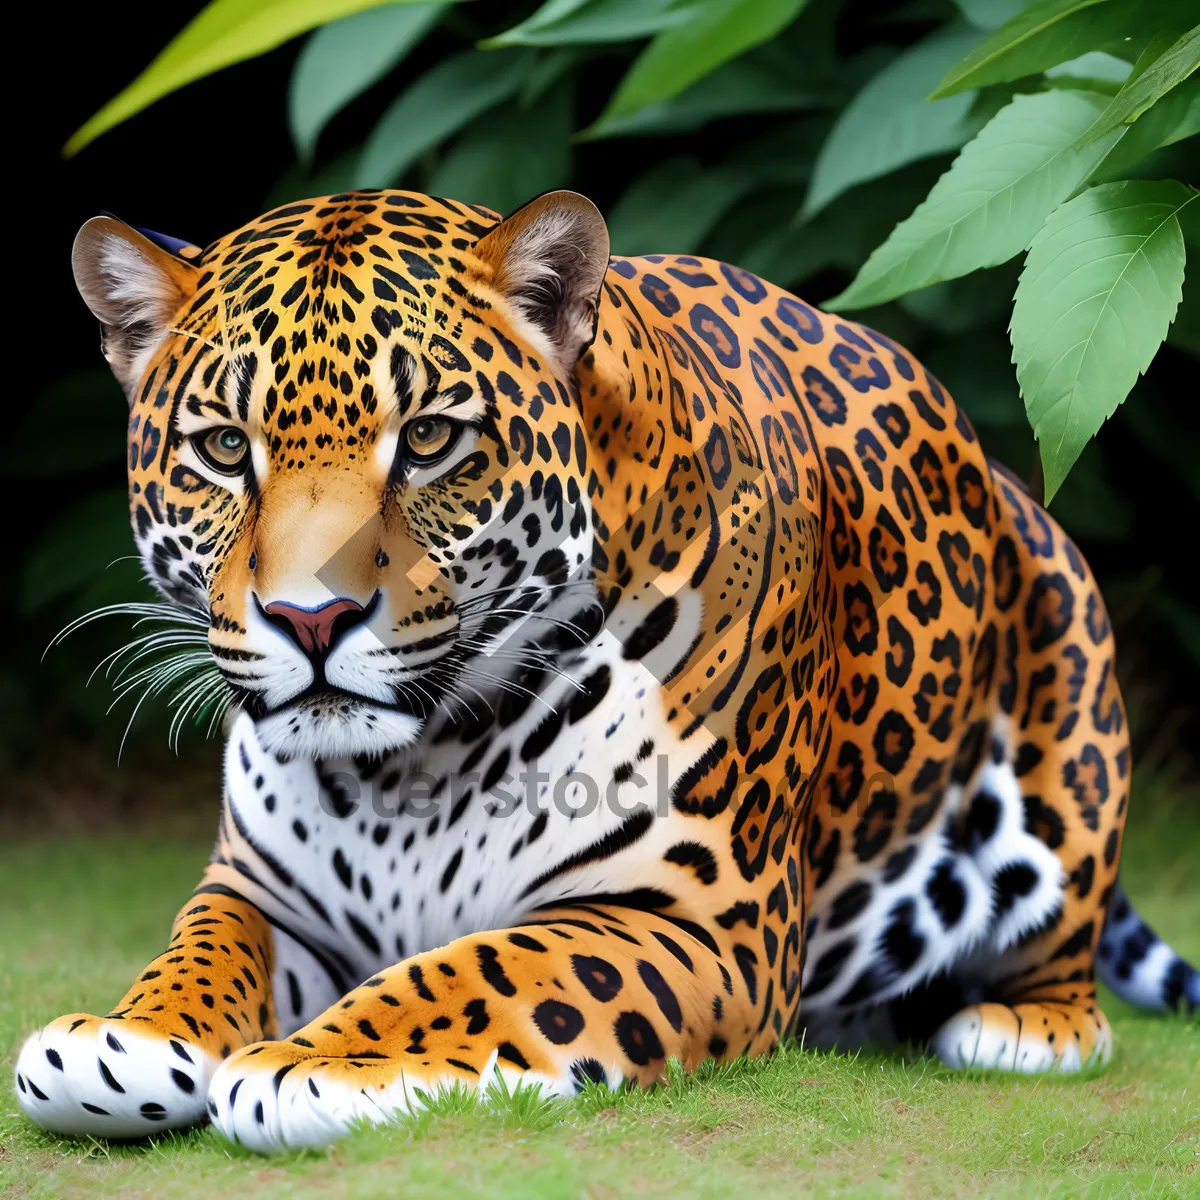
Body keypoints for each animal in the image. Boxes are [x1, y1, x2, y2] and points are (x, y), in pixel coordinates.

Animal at [16, 189, 1190, 1152]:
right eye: (223, 449)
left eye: (430, 439)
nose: (313, 618)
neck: (409, 771)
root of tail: (1006, 482)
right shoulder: (262, 890)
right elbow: (204, 945)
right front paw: (122, 1038)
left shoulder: (694, 920)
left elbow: (482, 965)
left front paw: (323, 1061)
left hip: (1073, 680)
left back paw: (1022, 1027)